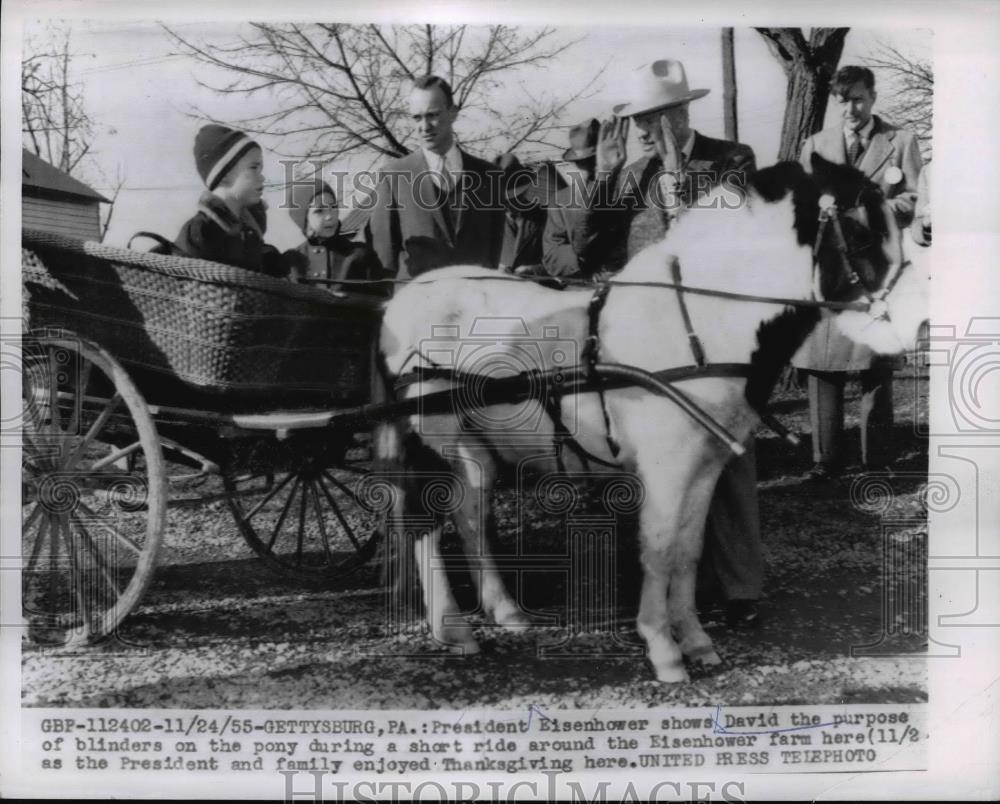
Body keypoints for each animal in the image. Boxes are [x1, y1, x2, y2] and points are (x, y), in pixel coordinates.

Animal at [376, 154, 928, 680]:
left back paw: (505, 611)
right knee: (427, 522)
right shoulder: (666, 468)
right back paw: (453, 629)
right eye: (862, 232)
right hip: (435, 442)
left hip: (475, 448)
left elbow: (687, 549)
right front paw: (662, 649)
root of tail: (401, 301)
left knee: (470, 513)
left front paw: (697, 641)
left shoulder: (705, 466)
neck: (697, 325)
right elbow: (659, 549)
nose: (917, 325)